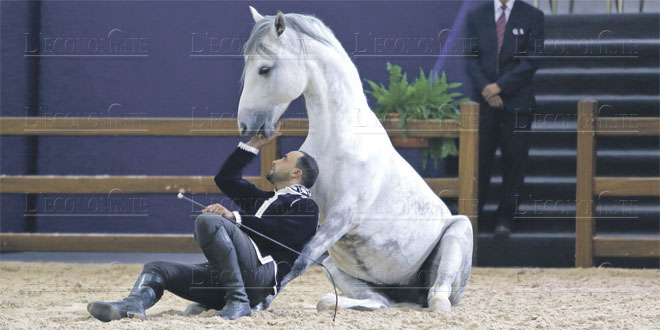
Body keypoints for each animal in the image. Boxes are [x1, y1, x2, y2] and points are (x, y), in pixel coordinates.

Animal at [235, 7, 472, 312]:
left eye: (264, 69)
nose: (245, 126)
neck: (337, 140)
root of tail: (410, 296)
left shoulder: (343, 215)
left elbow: (300, 260)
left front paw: (261, 301)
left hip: (459, 232)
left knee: (436, 295)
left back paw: (438, 303)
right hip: (341, 272)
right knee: (380, 301)